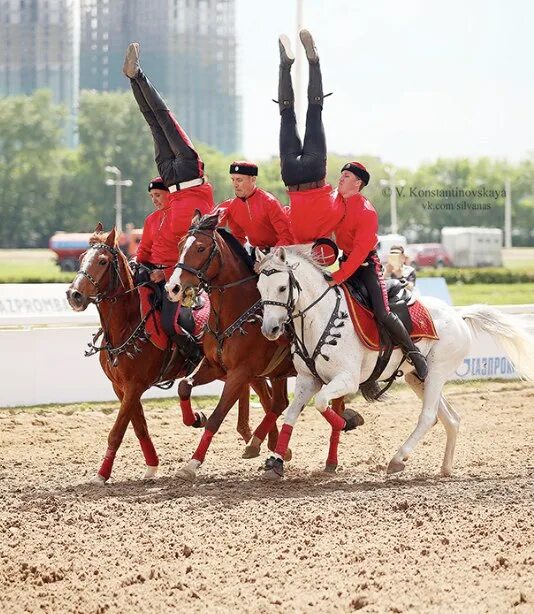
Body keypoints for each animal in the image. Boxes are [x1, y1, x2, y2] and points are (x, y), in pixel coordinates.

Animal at [66, 224, 280, 484]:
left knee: (268, 398)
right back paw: (264, 442)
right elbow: (139, 427)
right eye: (81, 258)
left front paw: (101, 475)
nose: (74, 295)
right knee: (265, 396)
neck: (128, 322)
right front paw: (152, 465)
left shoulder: (135, 385)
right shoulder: (121, 387)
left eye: (103, 261)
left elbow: (117, 431)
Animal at [165, 214, 362, 484]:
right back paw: (262, 443)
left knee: (330, 409)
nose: (172, 288)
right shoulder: (215, 366)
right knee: (279, 404)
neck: (236, 313)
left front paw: (192, 464)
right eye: (179, 245)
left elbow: (216, 418)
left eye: (201, 248)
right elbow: (184, 386)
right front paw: (194, 418)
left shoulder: (240, 373)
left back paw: (330, 457)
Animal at [256, 248, 534, 478]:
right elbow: (292, 415)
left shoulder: (346, 380)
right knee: (450, 419)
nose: (269, 329)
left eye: (281, 288)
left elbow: (323, 403)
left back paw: (398, 458)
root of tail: (459, 315)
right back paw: (445, 468)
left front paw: (349, 421)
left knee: (429, 416)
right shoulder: (307, 380)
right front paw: (276, 462)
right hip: (418, 378)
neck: (321, 317)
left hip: (436, 373)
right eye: (260, 288)